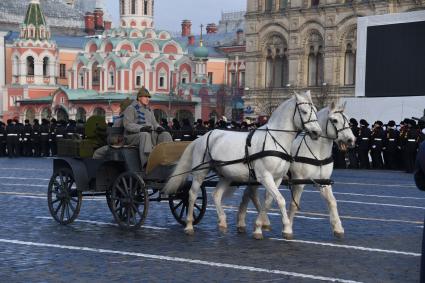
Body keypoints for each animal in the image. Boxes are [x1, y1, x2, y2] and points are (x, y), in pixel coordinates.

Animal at [165, 91, 322, 240]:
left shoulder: (276, 179)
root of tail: (202, 137)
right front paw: (285, 228)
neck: (275, 140)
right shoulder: (265, 177)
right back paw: (189, 225)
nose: (317, 133)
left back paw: (222, 222)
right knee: (192, 194)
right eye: (304, 111)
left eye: (315, 110)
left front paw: (260, 226)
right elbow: (280, 200)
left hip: (226, 175)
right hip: (200, 173)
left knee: (216, 195)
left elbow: (269, 201)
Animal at [235, 102, 354, 240]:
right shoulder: (299, 181)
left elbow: (332, 202)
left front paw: (338, 228)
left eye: (347, 119)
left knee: (249, 194)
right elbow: (294, 204)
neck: (317, 152)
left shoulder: (323, 182)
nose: (351, 140)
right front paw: (288, 227)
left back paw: (253, 222)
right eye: (334, 120)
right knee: (251, 194)